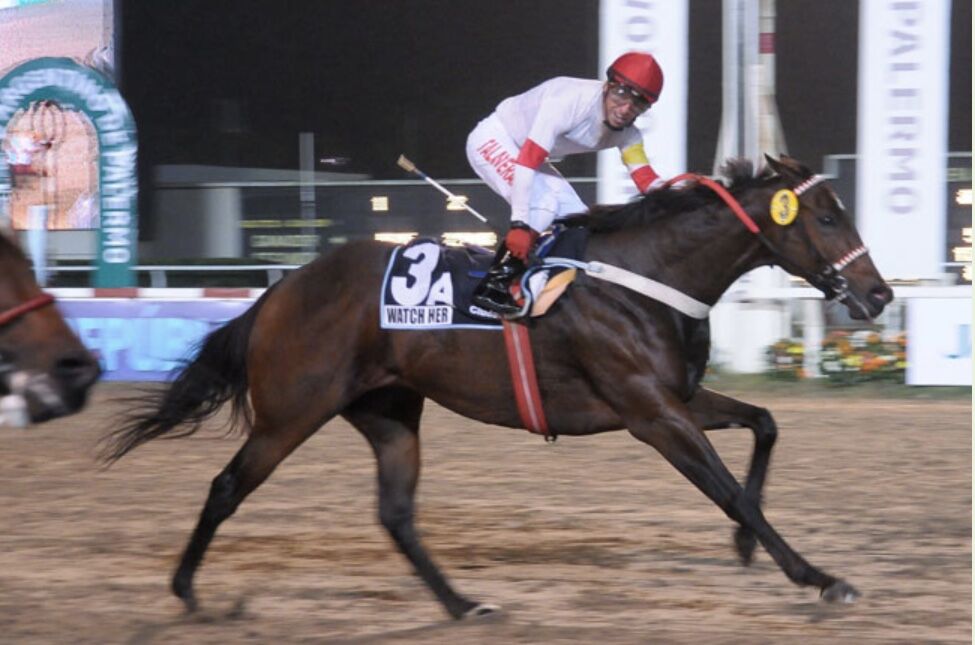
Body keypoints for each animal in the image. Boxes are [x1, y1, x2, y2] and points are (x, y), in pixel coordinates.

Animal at [103, 155, 892, 619]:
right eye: (827, 215)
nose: (878, 294)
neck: (647, 275)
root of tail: (278, 292)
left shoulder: (678, 396)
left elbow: (764, 423)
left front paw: (744, 547)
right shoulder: (650, 413)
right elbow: (729, 488)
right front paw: (816, 575)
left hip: (389, 411)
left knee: (396, 513)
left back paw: (462, 604)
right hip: (293, 412)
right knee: (226, 487)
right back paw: (188, 593)